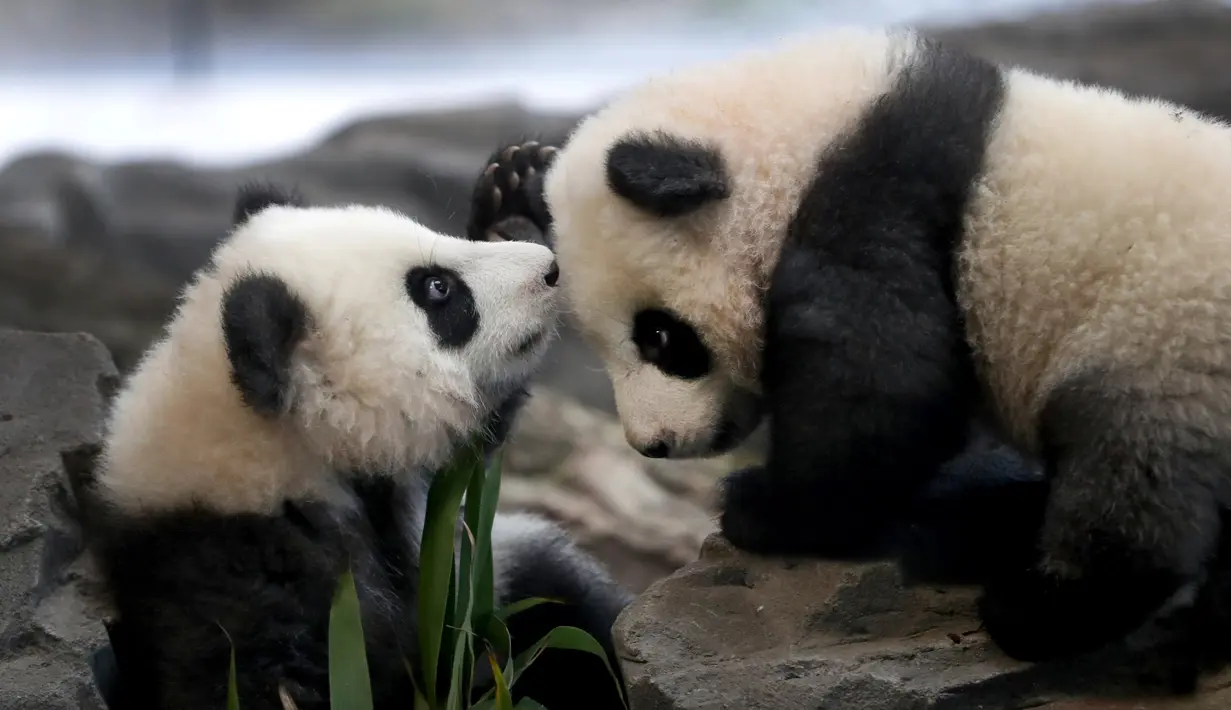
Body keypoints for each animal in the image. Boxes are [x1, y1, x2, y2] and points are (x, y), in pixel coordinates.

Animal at [464, 26, 1231, 682]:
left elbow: (884, 390)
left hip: (1159, 341)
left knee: (1131, 482)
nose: (654, 443)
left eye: (661, 338)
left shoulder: (875, 206)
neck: (802, 137)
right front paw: (514, 188)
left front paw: (763, 506)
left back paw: (1037, 610)